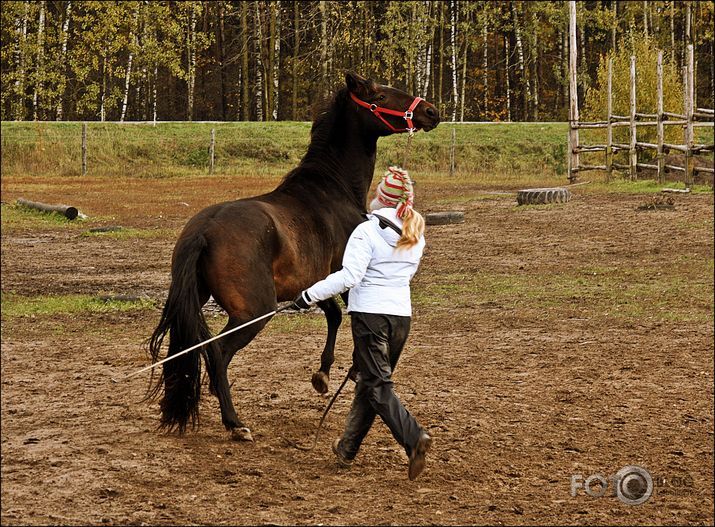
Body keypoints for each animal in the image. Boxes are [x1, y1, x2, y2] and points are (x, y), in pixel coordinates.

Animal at [150, 70, 442, 442]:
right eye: (379, 95)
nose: (430, 111)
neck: (332, 189)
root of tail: (204, 228)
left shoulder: (315, 280)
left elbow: (333, 316)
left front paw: (323, 376)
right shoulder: (348, 277)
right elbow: (348, 318)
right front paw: (347, 371)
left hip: (198, 300)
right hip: (253, 312)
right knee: (218, 353)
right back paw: (235, 423)